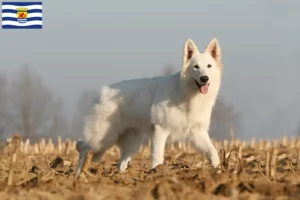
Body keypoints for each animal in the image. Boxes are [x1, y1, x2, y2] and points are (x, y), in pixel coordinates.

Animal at [75, 37, 223, 177]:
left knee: (120, 162)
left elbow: (212, 152)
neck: (187, 94)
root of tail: (103, 91)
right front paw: (156, 173)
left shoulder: (197, 133)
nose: (204, 78)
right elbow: (157, 156)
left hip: (132, 143)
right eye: (196, 67)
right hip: (102, 139)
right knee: (83, 148)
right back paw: (78, 175)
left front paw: (219, 170)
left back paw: (120, 175)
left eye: (209, 66)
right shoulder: (160, 130)